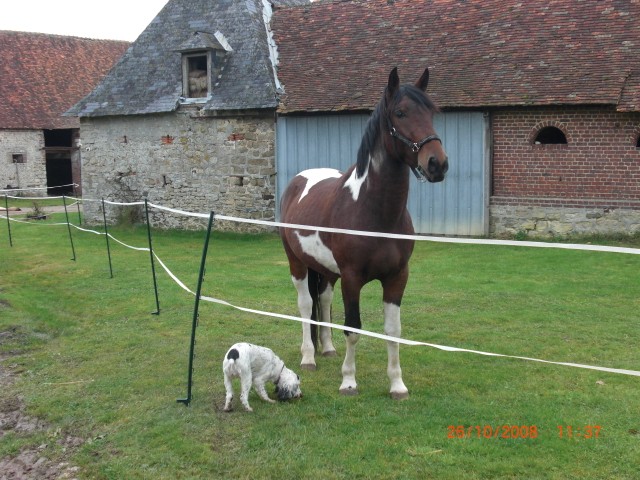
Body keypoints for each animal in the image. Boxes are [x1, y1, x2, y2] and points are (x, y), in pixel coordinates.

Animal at [278, 65, 448, 400]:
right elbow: (353, 327)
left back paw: (327, 349)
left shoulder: (397, 277)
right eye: (400, 112)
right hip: (297, 263)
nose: (437, 163)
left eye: (431, 112)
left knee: (324, 301)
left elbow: (393, 331)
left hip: (327, 271)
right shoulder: (353, 278)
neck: (375, 213)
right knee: (305, 306)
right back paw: (308, 358)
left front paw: (397, 385)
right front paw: (349, 381)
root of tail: (298, 181)